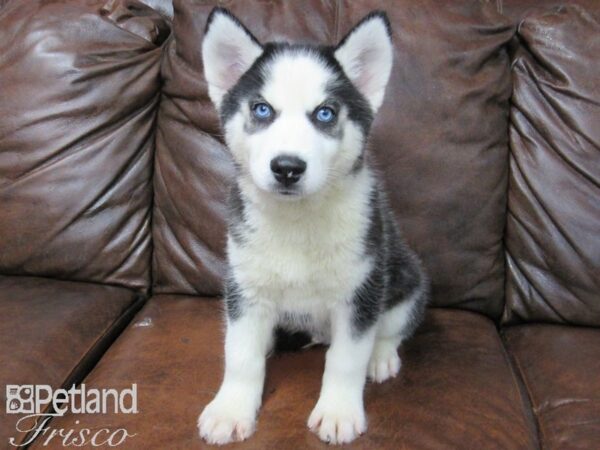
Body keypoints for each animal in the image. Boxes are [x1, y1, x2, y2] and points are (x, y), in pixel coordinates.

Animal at [199, 7, 428, 446]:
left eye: (325, 113)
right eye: (261, 110)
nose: (287, 167)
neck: (297, 221)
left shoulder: (361, 291)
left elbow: (345, 359)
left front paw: (338, 412)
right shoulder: (245, 288)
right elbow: (240, 355)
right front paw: (230, 409)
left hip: (406, 277)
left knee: (391, 327)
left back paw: (381, 356)